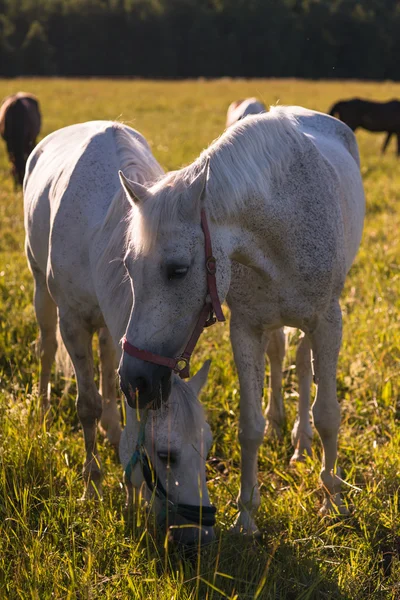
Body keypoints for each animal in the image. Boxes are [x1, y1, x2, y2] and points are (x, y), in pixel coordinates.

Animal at [23, 122, 217, 548]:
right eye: (166, 455)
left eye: (208, 446)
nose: (198, 536)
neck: (98, 238)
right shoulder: (73, 323)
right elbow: (87, 406)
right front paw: (92, 487)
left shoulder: (127, 340)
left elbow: (117, 399)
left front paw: (129, 495)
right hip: (41, 291)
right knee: (46, 347)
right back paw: (43, 406)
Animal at [119, 106, 366, 536]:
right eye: (129, 268)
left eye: (178, 270)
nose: (134, 381)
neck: (282, 225)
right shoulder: (246, 328)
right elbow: (250, 427)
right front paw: (246, 516)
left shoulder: (327, 322)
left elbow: (328, 416)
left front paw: (332, 500)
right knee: (282, 356)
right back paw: (285, 427)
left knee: (303, 367)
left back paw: (302, 445)